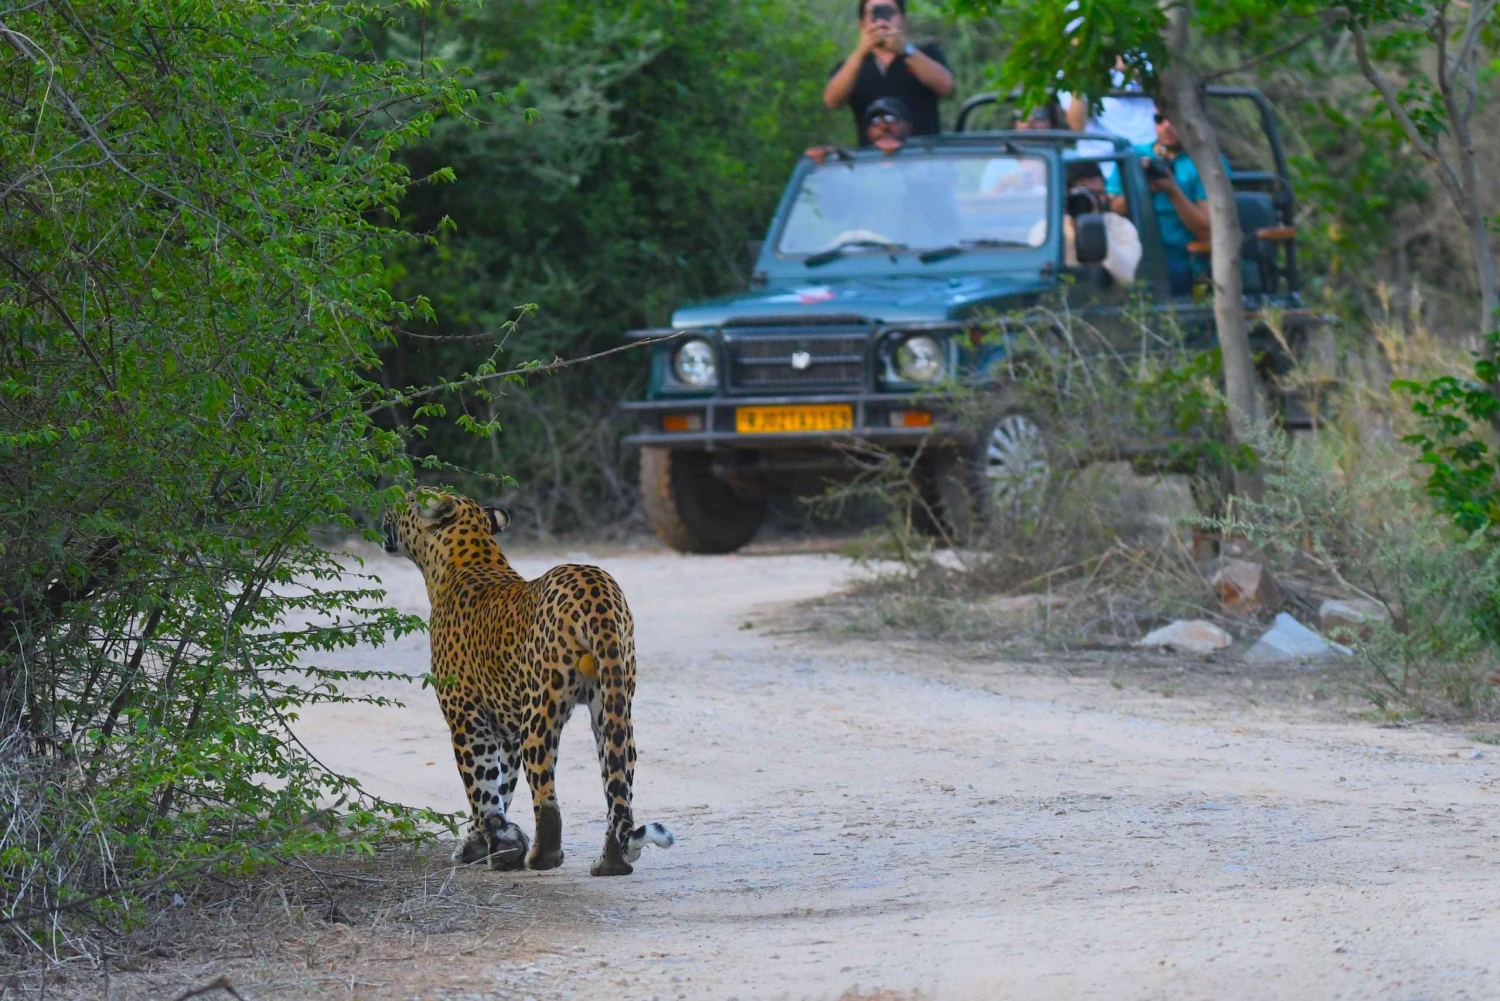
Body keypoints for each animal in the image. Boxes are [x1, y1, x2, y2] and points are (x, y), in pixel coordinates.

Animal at [383, 488, 674, 876]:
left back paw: (541, 857)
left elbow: (480, 784)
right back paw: (610, 862)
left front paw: (492, 846)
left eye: (409, 497)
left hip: (541, 708)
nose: (387, 504)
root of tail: (596, 588)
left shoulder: (465, 717)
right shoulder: (505, 727)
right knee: (619, 783)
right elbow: (500, 784)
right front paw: (489, 842)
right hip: (612, 700)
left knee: (546, 791)